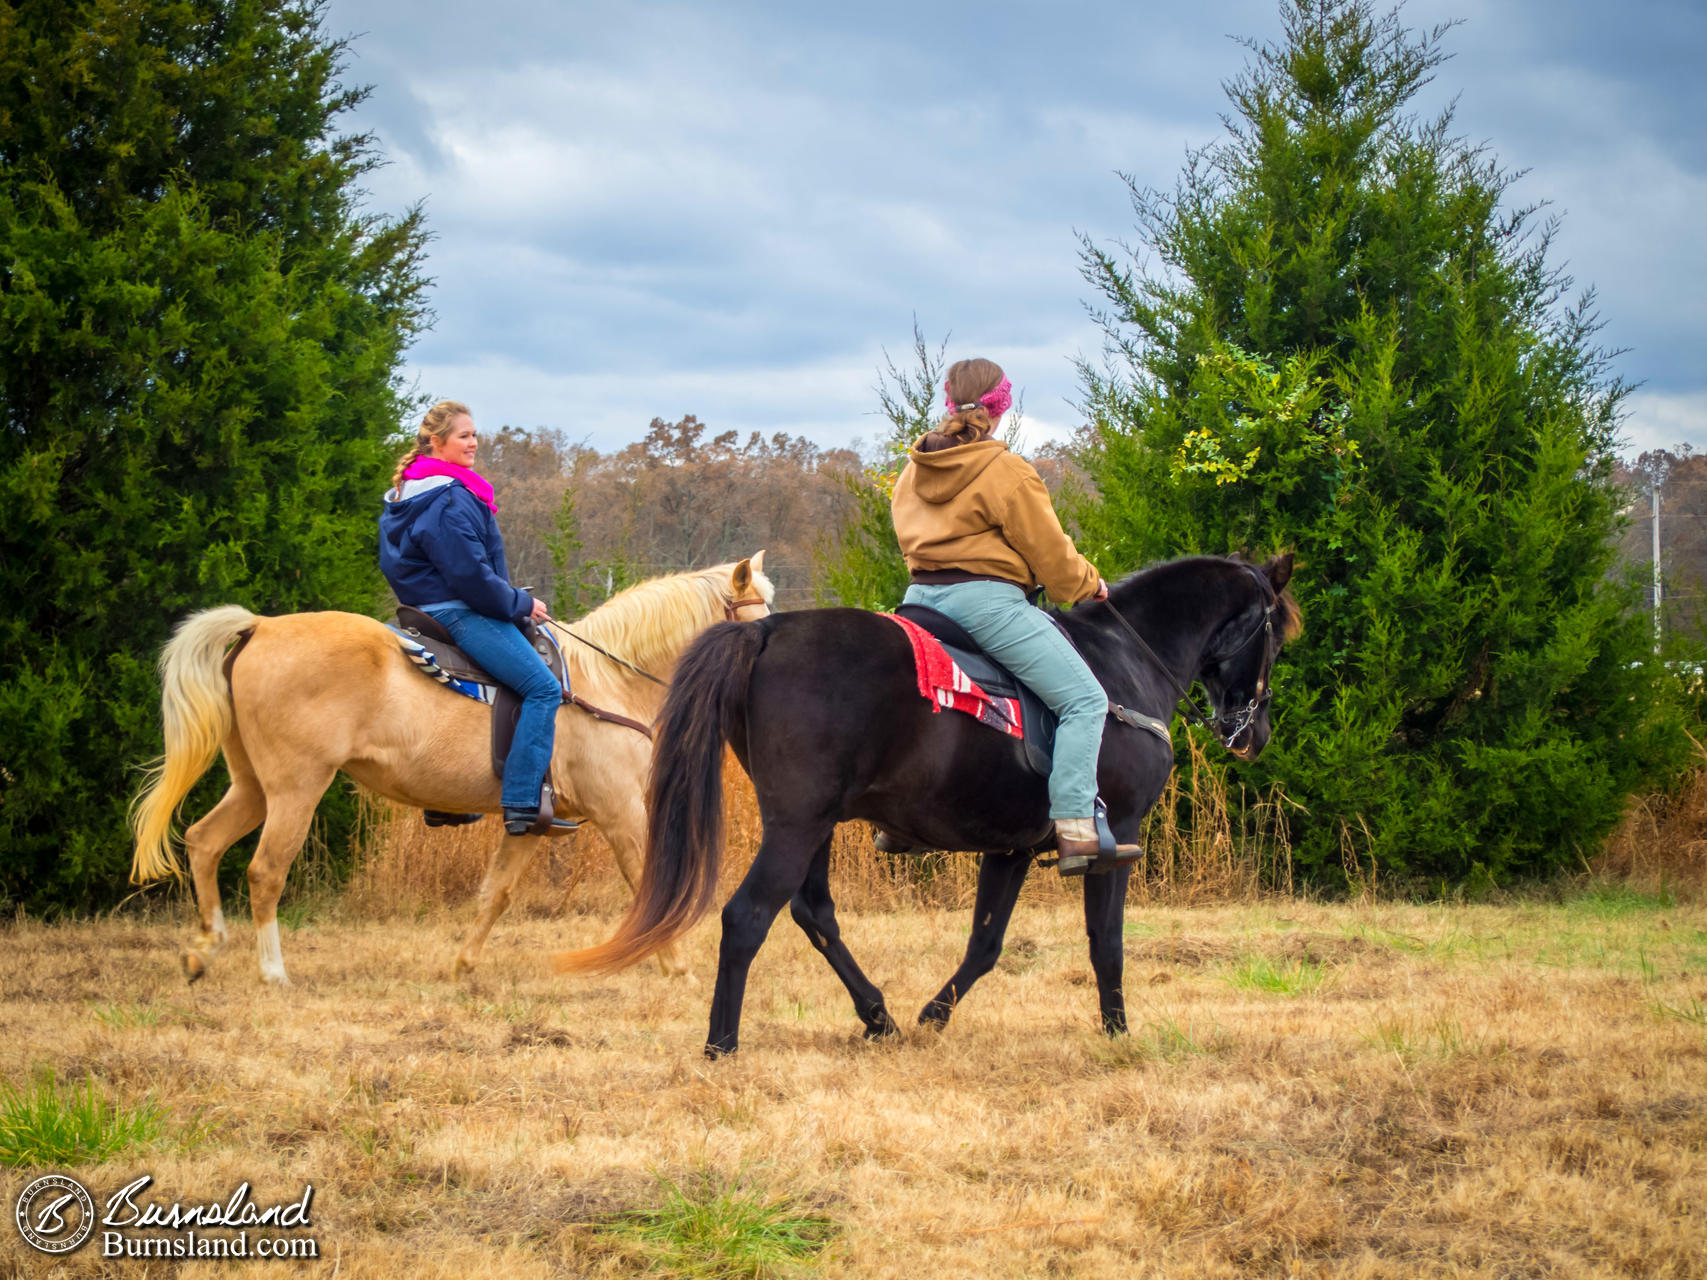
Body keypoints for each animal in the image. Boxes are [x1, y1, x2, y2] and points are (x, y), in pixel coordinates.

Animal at [131, 556, 774, 989]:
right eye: (761, 620)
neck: (611, 680)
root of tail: (260, 626)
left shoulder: (532, 820)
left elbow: (497, 893)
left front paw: (463, 966)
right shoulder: (620, 812)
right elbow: (647, 881)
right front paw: (678, 966)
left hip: (252, 787)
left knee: (204, 841)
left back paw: (204, 949)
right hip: (296, 788)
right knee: (266, 871)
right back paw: (272, 972)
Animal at [553, 556, 1297, 1058]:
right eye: (1275, 633)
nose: (1254, 733)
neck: (1124, 659)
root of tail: (765, 636)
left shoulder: (1010, 847)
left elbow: (986, 944)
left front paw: (933, 1015)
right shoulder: (1117, 836)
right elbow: (1106, 943)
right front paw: (1118, 1031)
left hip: (813, 824)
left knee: (812, 912)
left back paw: (877, 1016)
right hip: (797, 823)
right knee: (746, 916)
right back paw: (722, 1043)